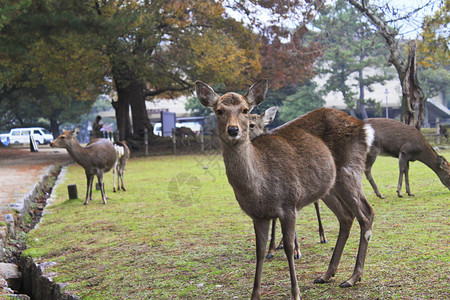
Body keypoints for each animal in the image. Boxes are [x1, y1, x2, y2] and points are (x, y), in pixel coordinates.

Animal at [195, 80, 374, 300]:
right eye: (219, 110)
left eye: (245, 110)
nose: (233, 130)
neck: (259, 187)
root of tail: (364, 128)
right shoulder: (258, 215)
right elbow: (260, 251)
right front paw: (255, 295)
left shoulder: (288, 204)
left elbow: (289, 247)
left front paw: (296, 293)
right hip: (328, 187)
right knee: (346, 217)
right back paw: (326, 274)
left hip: (350, 170)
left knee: (366, 214)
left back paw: (353, 277)